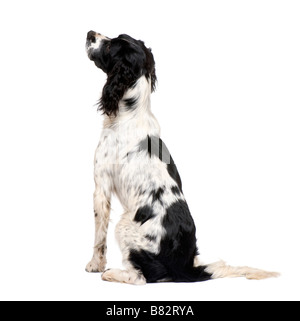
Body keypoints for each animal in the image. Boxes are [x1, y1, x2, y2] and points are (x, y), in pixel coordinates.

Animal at [84, 30, 278, 284]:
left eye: (109, 47)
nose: (90, 33)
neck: (130, 112)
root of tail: (184, 267)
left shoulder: (101, 186)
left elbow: (99, 234)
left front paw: (95, 265)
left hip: (125, 224)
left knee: (143, 277)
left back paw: (112, 273)